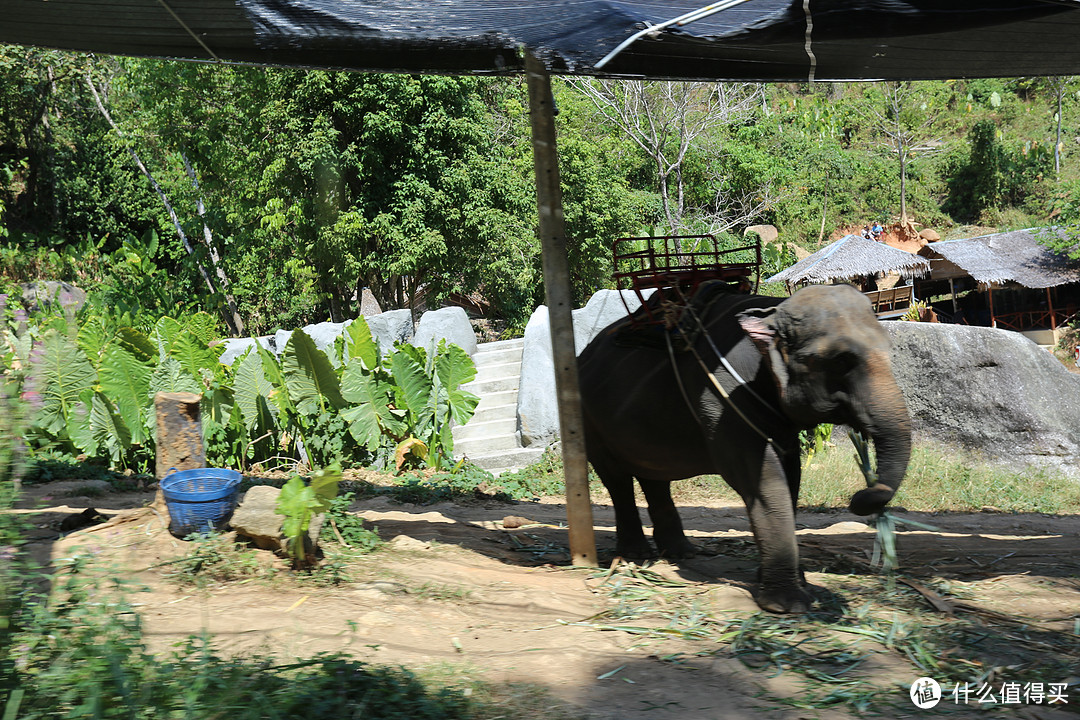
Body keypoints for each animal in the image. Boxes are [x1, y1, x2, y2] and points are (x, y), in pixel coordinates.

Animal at [578, 282, 915, 613]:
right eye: (841, 361)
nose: (858, 498)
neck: (772, 310)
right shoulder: (722, 397)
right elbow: (762, 479)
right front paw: (789, 605)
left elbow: (790, 476)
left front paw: (794, 584)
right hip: (589, 419)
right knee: (617, 479)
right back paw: (636, 557)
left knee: (654, 476)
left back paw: (681, 553)